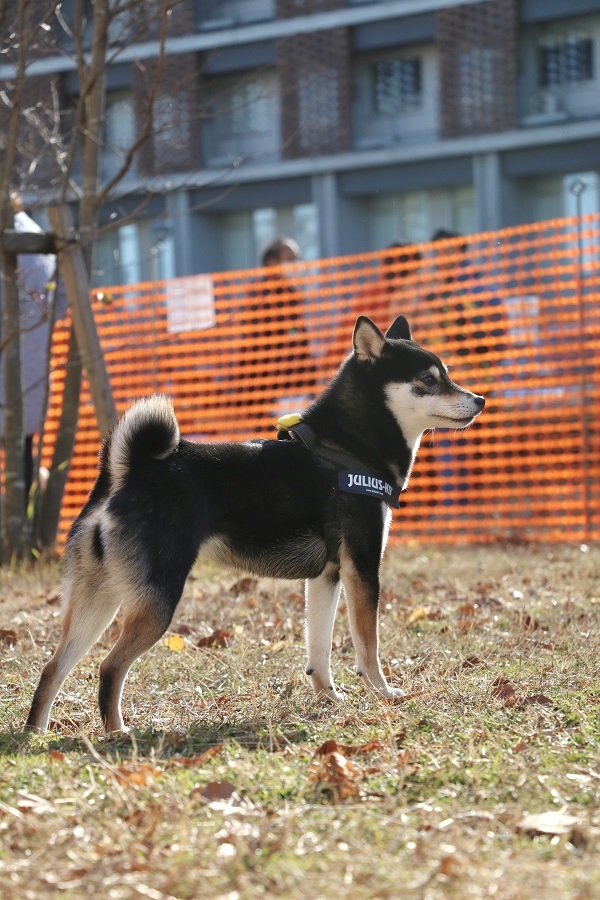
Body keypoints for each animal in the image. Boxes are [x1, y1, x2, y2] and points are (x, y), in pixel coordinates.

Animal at [24, 312, 482, 736]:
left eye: (446, 375)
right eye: (429, 380)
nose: (479, 399)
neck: (346, 449)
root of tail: (126, 472)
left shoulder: (328, 576)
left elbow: (319, 649)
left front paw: (328, 698)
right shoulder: (362, 568)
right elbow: (368, 647)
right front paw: (383, 693)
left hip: (97, 601)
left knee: (52, 668)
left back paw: (36, 734)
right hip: (156, 600)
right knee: (109, 667)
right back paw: (117, 733)